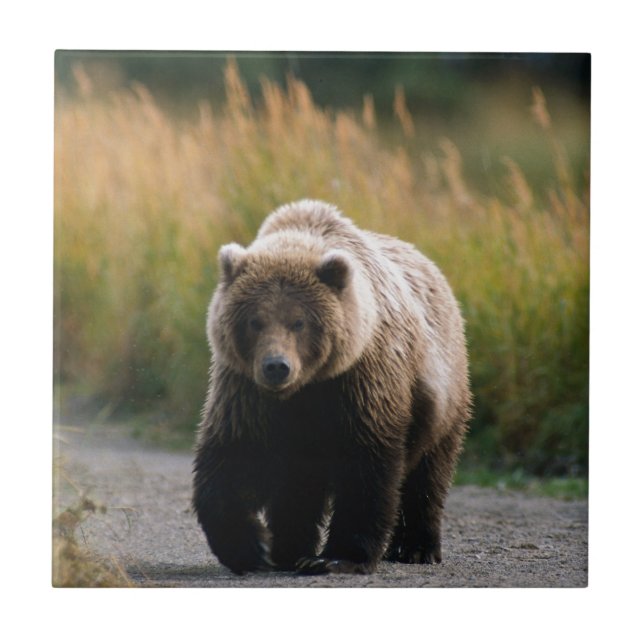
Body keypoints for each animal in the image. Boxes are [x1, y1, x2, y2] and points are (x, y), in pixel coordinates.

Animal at [193, 199, 471, 575]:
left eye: (299, 322)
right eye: (254, 321)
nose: (276, 366)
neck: (307, 387)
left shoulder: (361, 381)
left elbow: (365, 465)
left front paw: (338, 556)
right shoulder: (245, 390)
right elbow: (234, 456)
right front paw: (251, 547)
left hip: (441, 392)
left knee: (428, 472)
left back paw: (416, 548)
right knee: (297, 488)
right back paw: (289, 549)